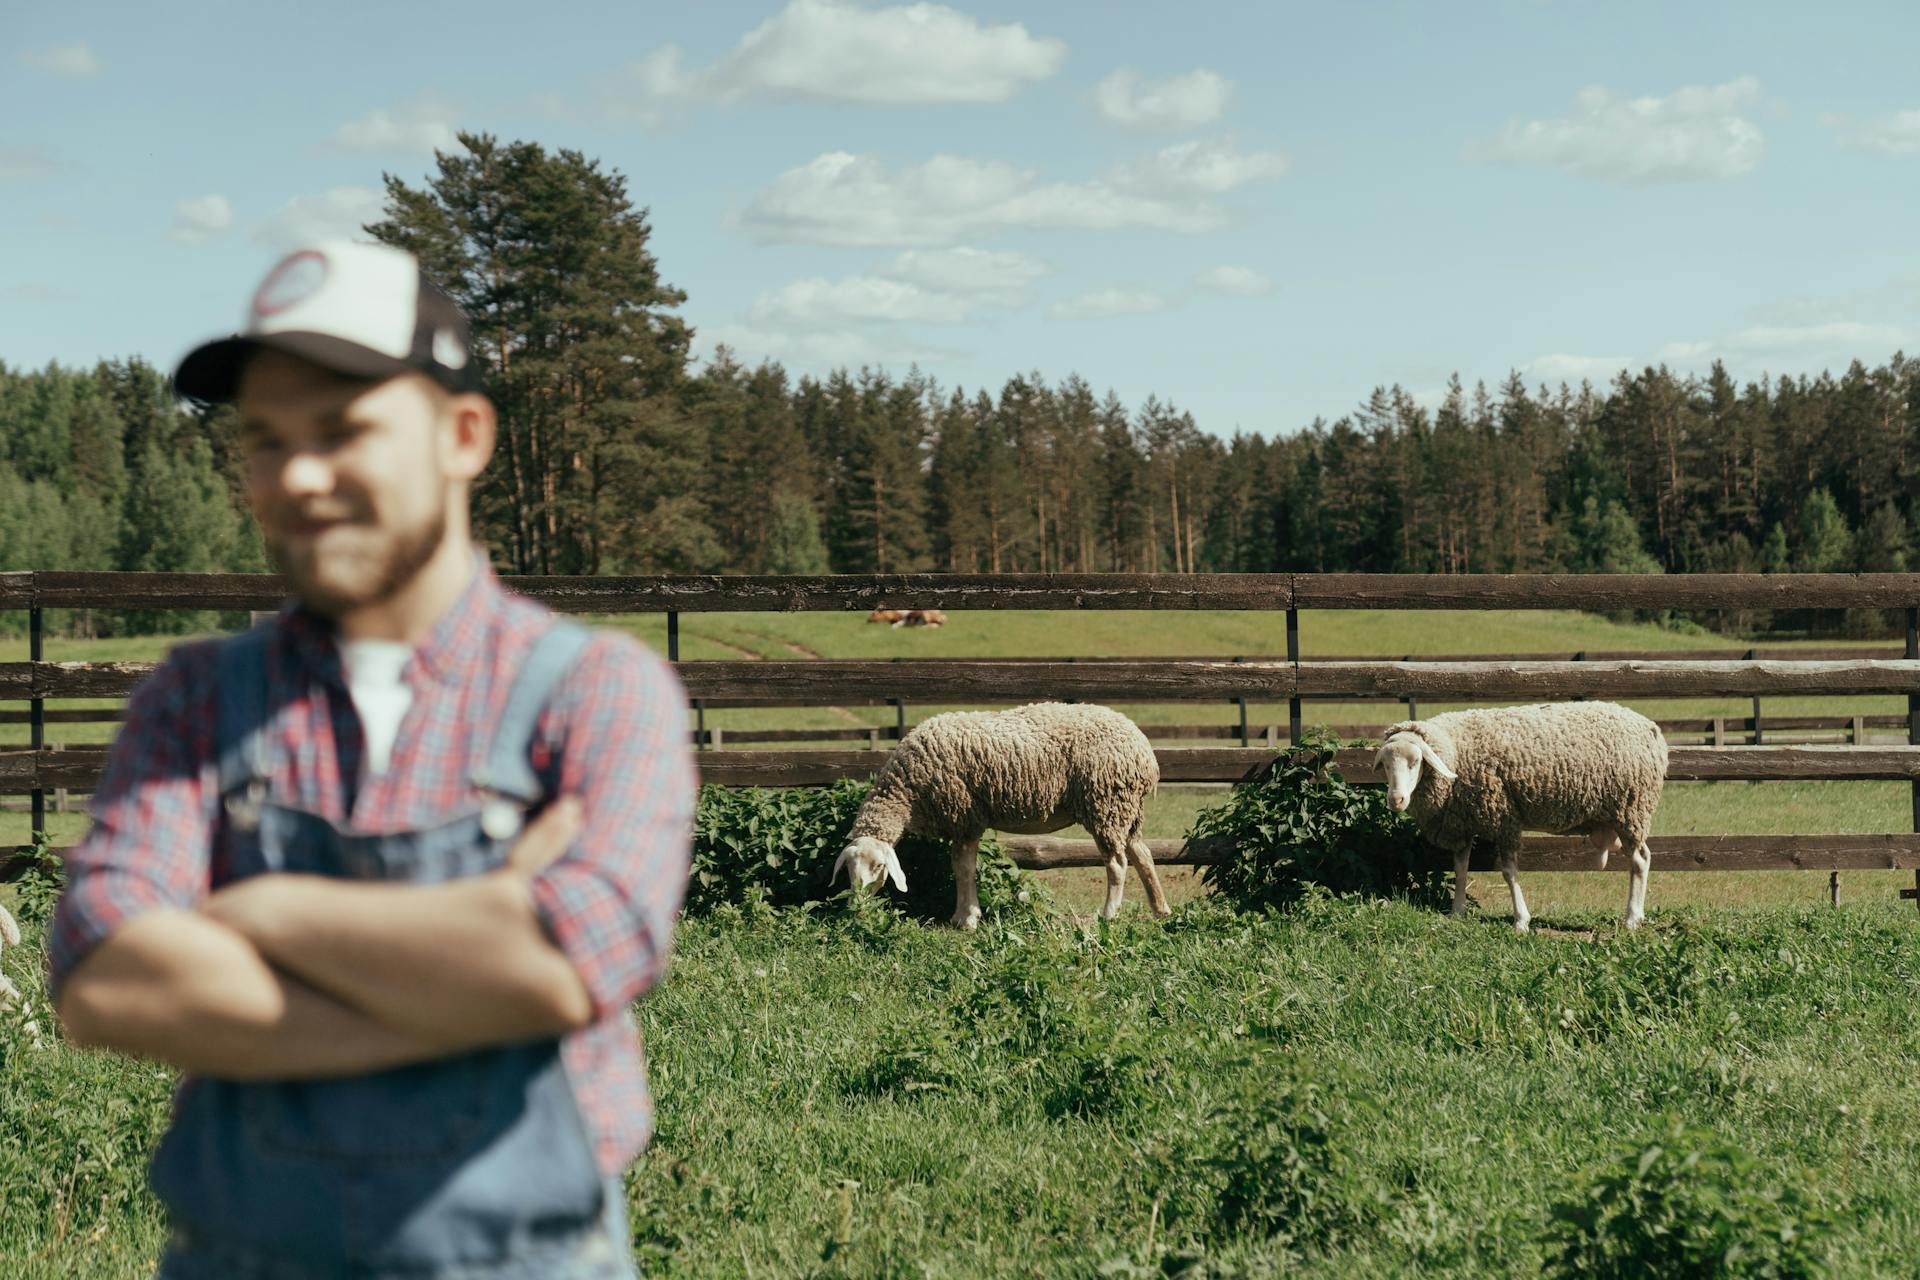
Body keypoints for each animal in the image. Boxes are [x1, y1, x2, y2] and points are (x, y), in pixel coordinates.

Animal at [829, 702, 1167, 932]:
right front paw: (963, 915)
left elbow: (963, 869)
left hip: (1105, 803)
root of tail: (1144, 751)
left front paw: (967, 918)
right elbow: (959, 868)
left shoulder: (965, 817)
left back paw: (1108, 914)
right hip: (1126, 811)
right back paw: (1160, 910)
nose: (856, 907)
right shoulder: (962, 821)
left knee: (1117, 863)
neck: (907, 790)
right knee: (1143, 855)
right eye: (848, 869)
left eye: (879, 866)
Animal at [1374, 706, 1674, 936]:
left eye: (1415, 762)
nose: (1396, 800)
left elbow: (1509, 872)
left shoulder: (1505, 818)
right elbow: (1460, 867)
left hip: (1631, 809)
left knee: (1640, 860)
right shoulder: (1463, 821)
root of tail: (1651, 728)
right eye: (1386, 765)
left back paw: (1632, 918)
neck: (1456, 750)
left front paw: (1521, 920)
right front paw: (1457, 911)